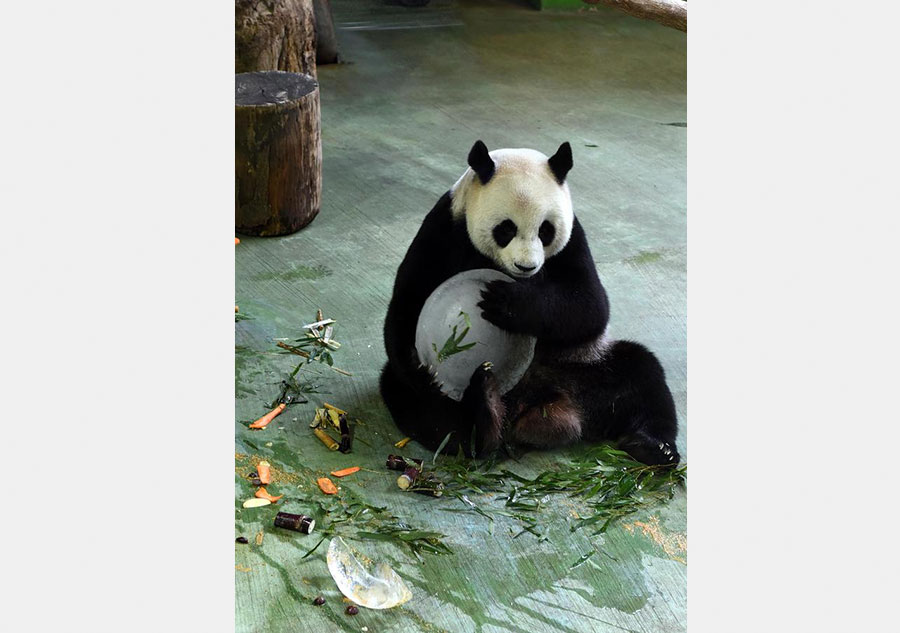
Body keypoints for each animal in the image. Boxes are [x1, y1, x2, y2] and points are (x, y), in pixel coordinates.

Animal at [380, 140, 680, 466]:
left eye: (546, 230)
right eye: (506, 228)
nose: (527, 267)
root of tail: (545, 408)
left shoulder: (573, 238)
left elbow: (589, 305)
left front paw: (506, 301)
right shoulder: (445, 226)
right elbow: (409, 297)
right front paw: (421, 369)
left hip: (586, 363)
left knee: (642, 375)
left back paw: (655, 447)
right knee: (420, 405)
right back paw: (483, 420)